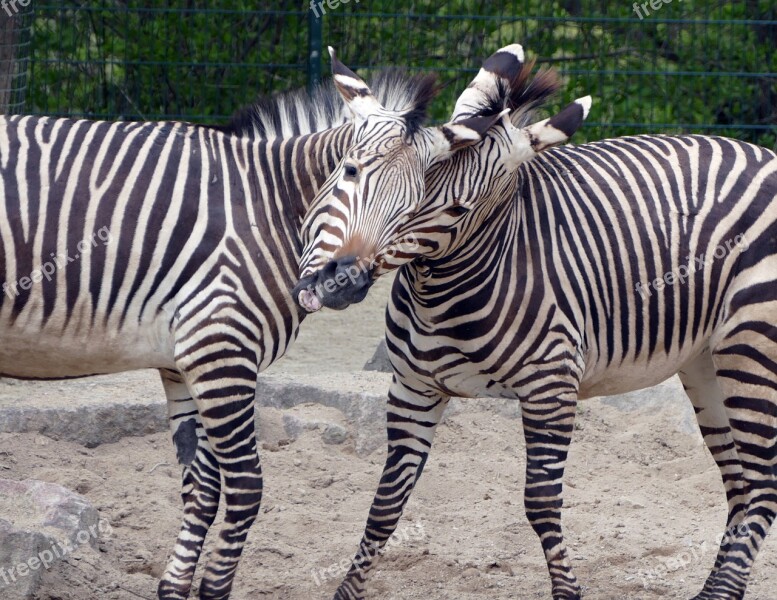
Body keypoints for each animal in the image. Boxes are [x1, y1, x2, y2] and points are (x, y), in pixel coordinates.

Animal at [0, 51, 498, 600]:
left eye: (413, 210)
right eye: (349, 171)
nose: (342, 281)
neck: (270, 206)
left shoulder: (185, 361)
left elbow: (202, 487)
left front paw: (174, 588)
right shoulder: (220, 348)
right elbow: (244, 488)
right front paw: (213, 588)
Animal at [294, 44, 776, 600]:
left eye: (454, 208)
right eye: (348, 171)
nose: (340, 280)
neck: (440, 295)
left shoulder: (552, 386)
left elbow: (541, 503)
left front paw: (568, 591)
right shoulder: (413, 387)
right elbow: (384, 505)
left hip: (752, 347)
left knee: (762, 486)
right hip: (706, 361)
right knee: (740, 484)